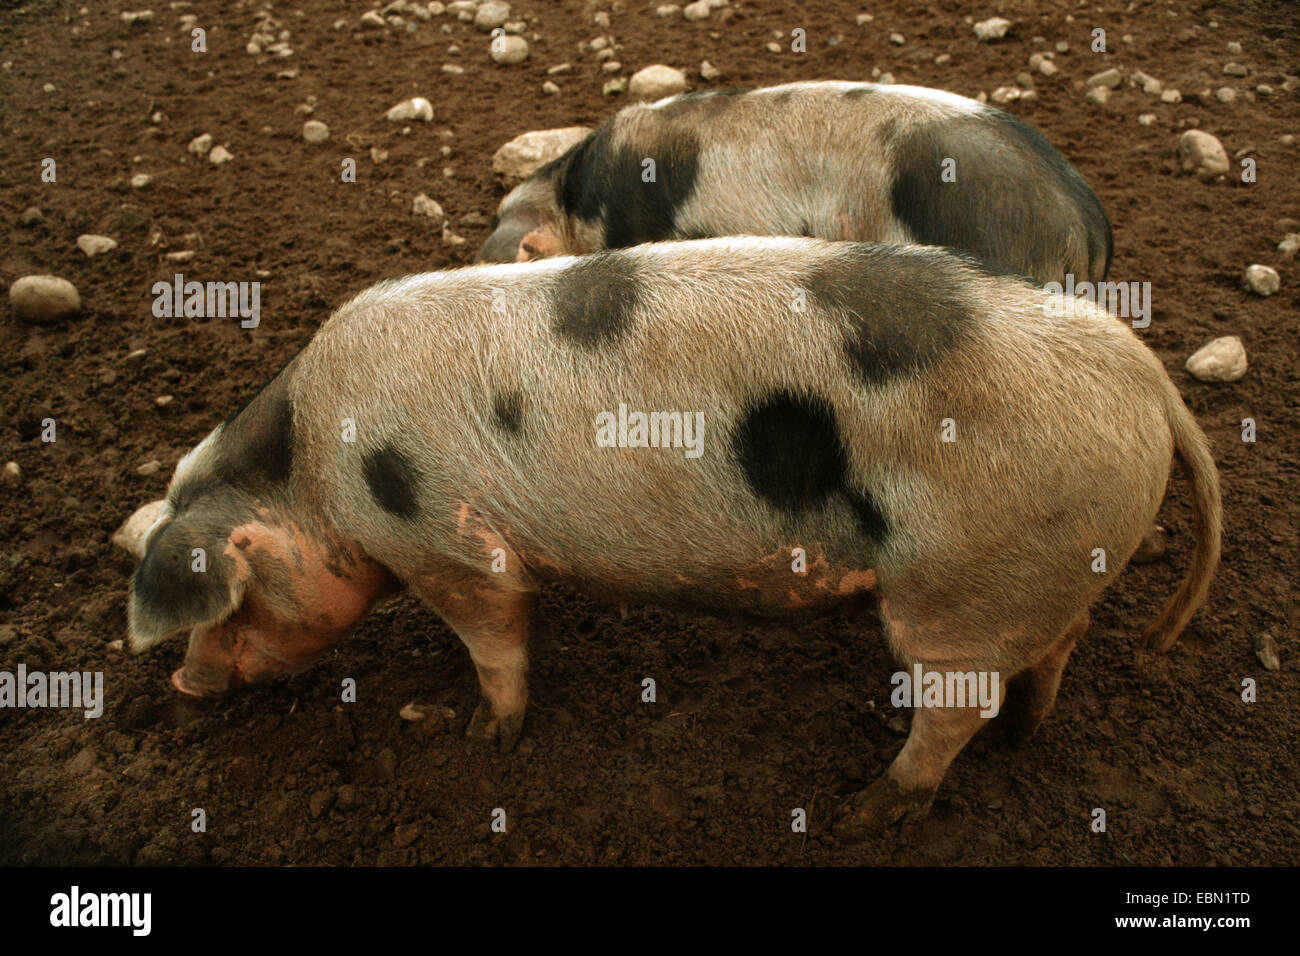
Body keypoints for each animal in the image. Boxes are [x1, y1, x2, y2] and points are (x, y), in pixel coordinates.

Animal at [126, 239, 1211, 837]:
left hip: (960, 582)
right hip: (1049, 565)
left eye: (228, 605)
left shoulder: (451, 548)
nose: (184, 684)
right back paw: (1029, 729)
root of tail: (1150, 383)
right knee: (1052, 650)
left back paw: (863, 814)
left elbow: (495, 639)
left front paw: (486, 738)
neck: (313, 472)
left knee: (956, 705)